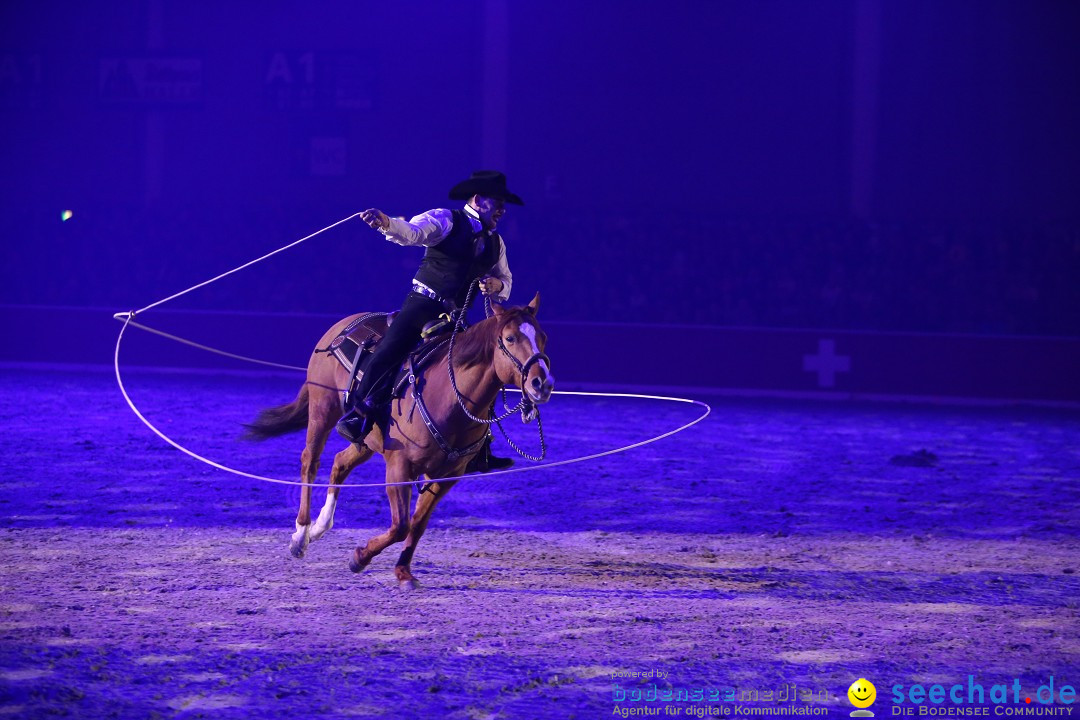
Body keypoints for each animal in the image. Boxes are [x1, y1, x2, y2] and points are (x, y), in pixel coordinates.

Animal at [247, 293, 552, 591]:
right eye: (510, 338)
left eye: (543, 337)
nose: (542, 384)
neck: (450, 397)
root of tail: (342, 326)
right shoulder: (400, 466)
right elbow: (401, 525)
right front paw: (359, 558)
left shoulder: (447, 476)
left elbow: (417, 524)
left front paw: (403, 571)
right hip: (322, 409)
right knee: (310, 461)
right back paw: (301, 535)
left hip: (365, 440)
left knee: (339, 463)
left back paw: (320, 526)